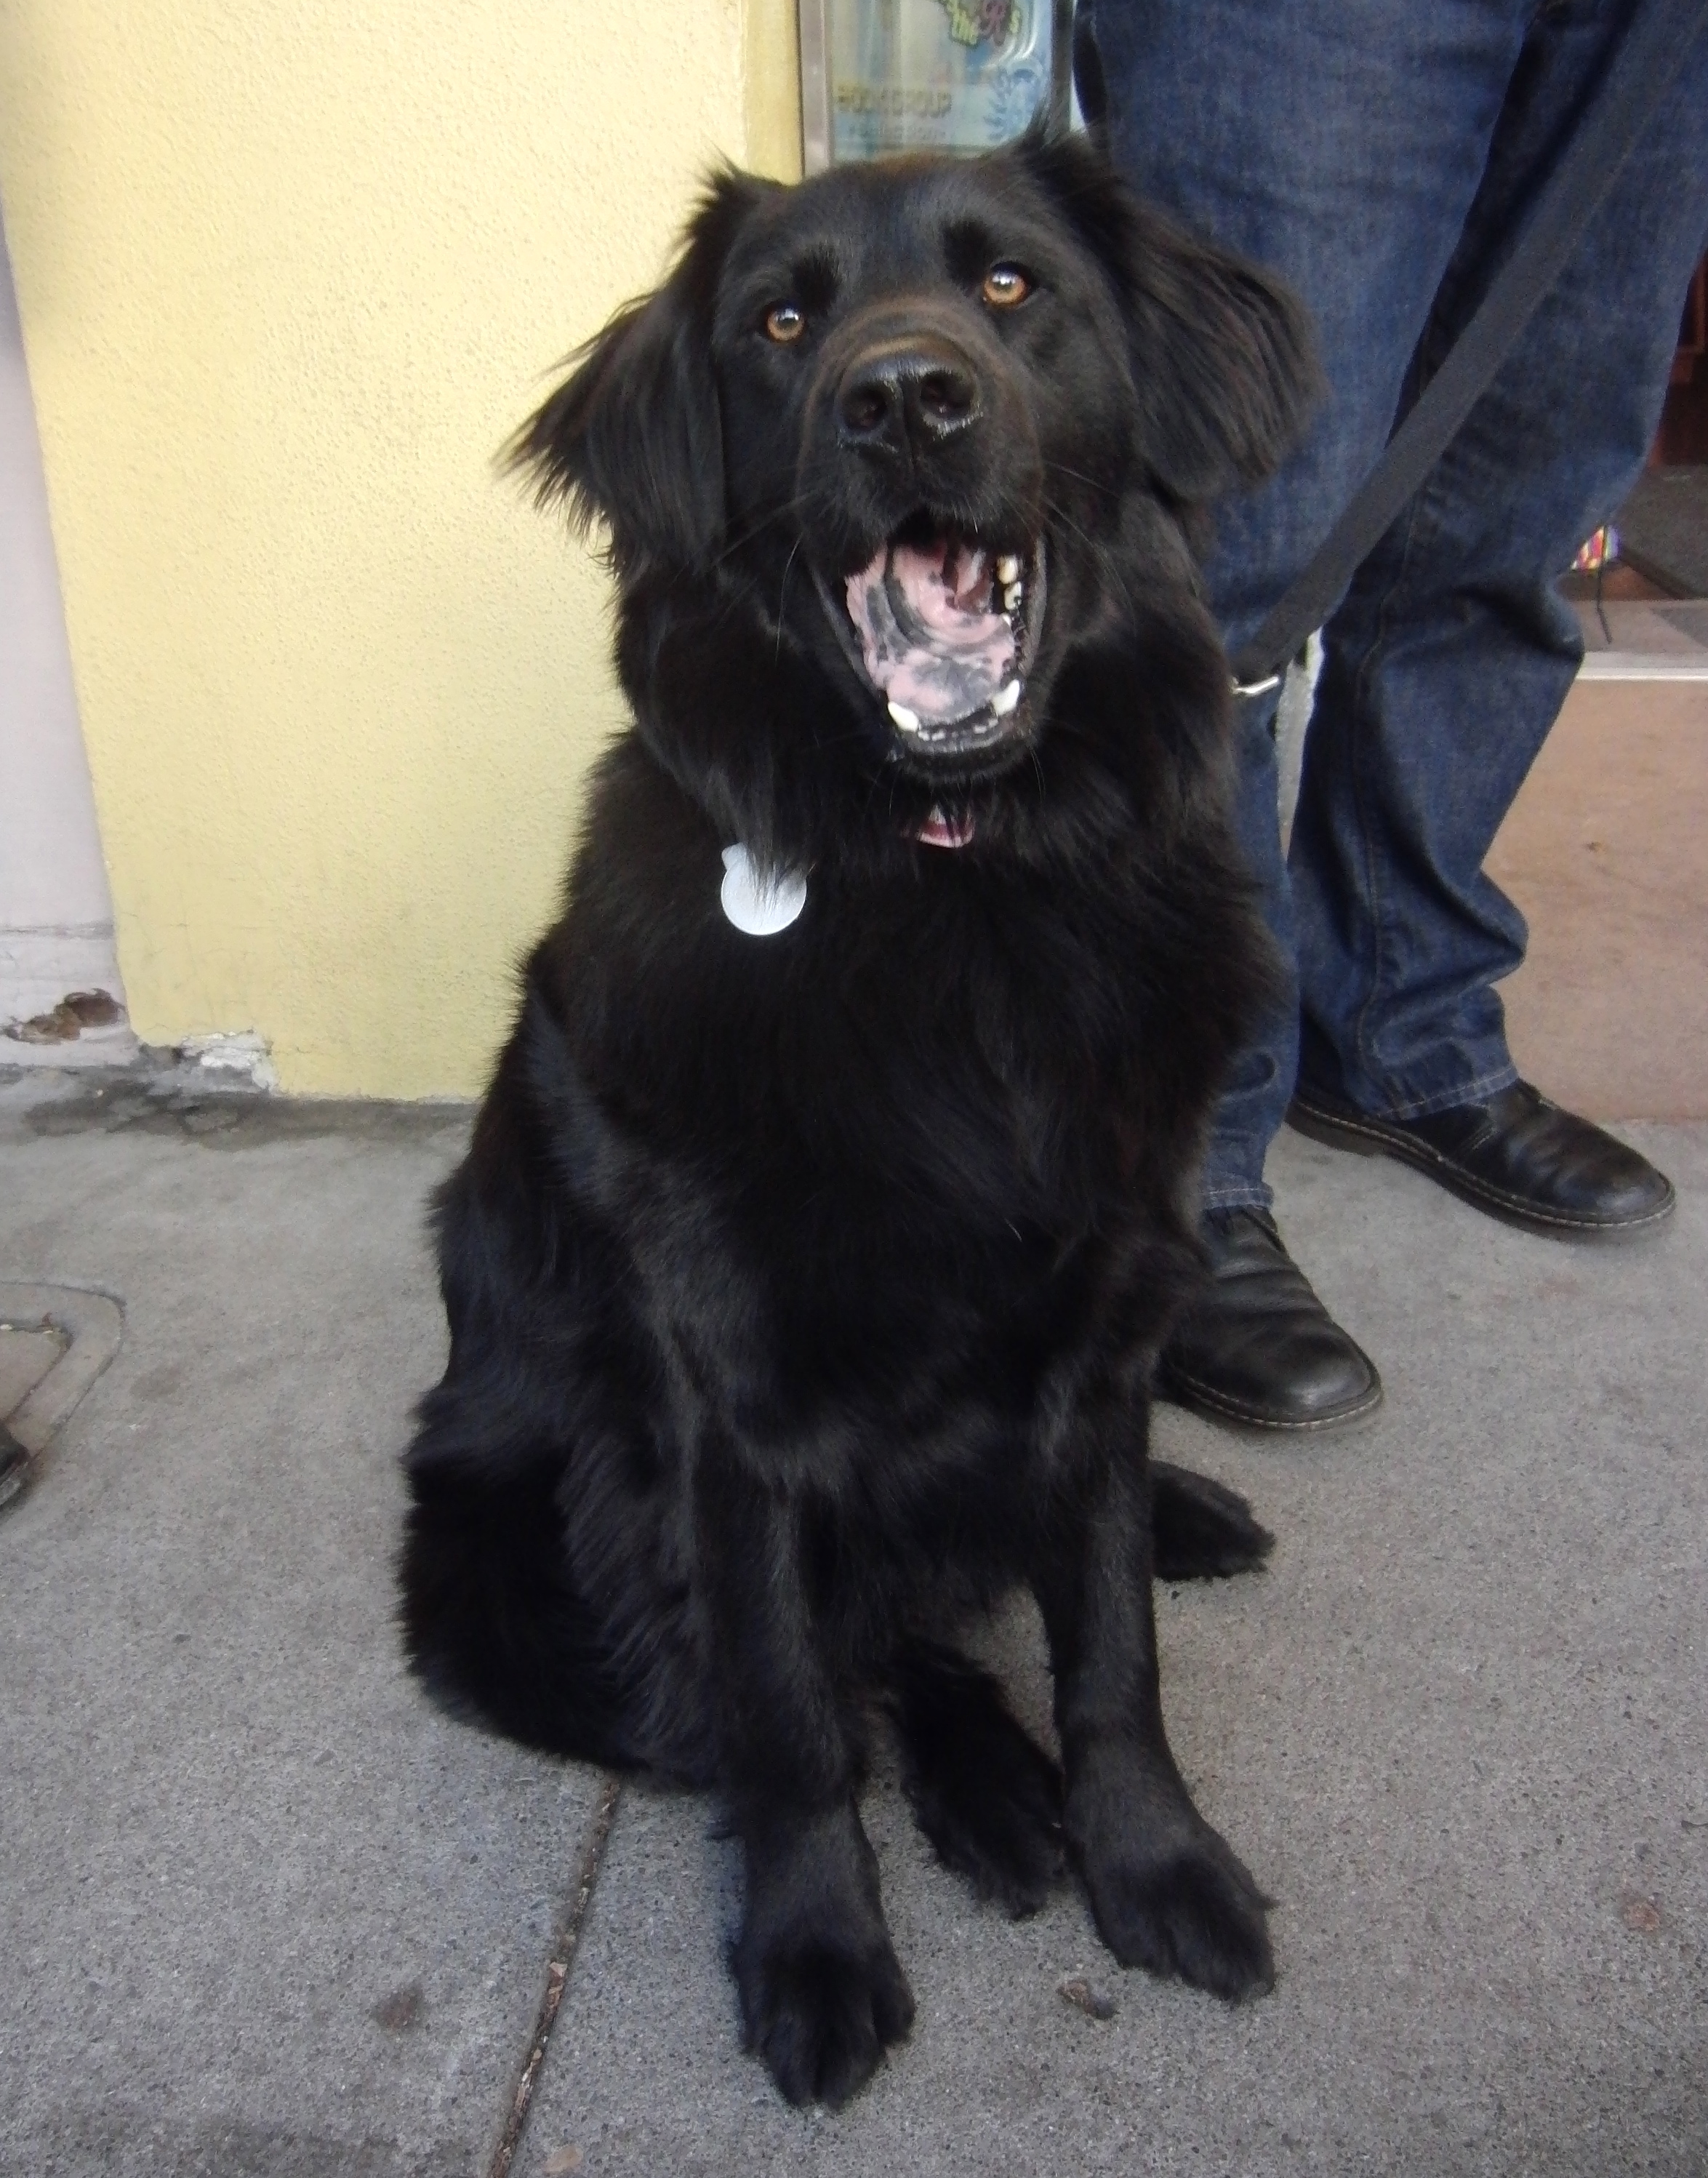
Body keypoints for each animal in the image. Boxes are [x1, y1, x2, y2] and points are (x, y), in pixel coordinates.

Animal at [396, 136, 1307, 2108]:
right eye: (781, 323)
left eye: (1012, 287)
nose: (901, 397)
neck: (955, 878)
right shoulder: (727, 1416)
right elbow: (791, 1708)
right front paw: (815, 1949)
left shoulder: (1105, 1316)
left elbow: (1107, 1640)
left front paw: (1153, 1857)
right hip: (510, 1574)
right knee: (871, 1649)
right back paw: (988, 1796)